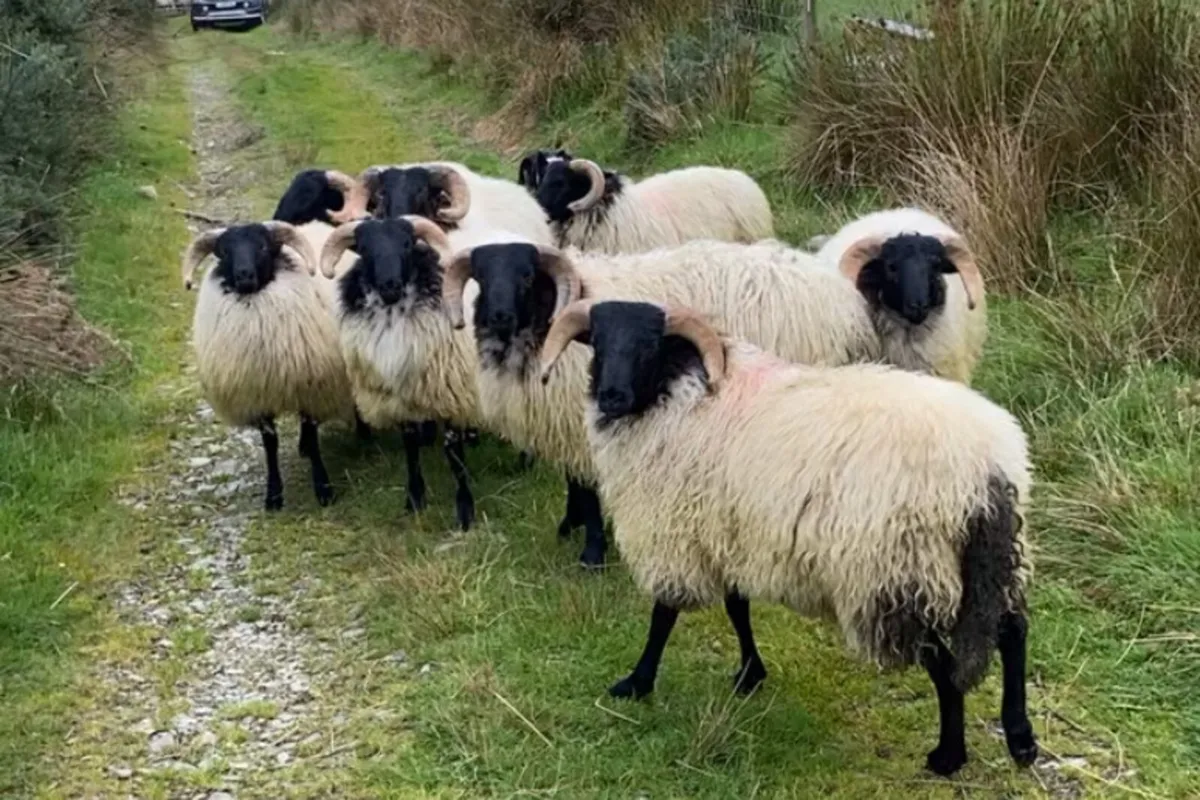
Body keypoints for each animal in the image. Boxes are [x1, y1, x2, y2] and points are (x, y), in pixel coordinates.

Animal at [181, 221, 354, 511]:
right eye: (224, 251)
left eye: (262, 246)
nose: (244, 275)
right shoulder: (258, 396)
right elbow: (270, 445)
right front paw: (273, 495)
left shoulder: (309, 388)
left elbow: (313, 439)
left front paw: (323, 489)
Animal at [317, 215, 501, 531]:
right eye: (363, 248)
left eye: (406, 244)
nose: (390, 285)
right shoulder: (401, 397)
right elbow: (411, 448)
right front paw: (415, 499)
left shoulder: (449, 392)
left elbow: (454, 456)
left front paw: (465, 511)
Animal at [441, 238, 881, 566]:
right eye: (480, 276)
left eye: (527, 275)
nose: (498, 316)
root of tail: (844, 299)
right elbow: (574, 484)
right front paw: (569, 526)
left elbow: (587, 489)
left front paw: (592, 551)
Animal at [539, 298, 1038, 778]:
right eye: (598, 342)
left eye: (649, 344)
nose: (612, 396)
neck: (673, 391)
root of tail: (985, 467)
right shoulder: (730, 532)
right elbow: (737, 607)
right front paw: (750, 674)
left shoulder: (675, 533)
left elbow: (664, 615)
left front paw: (638, 682)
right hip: (989, 560)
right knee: (1012, 631)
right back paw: (1021, 739)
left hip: (899, 572)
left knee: (945, 667)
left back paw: (949, 756)